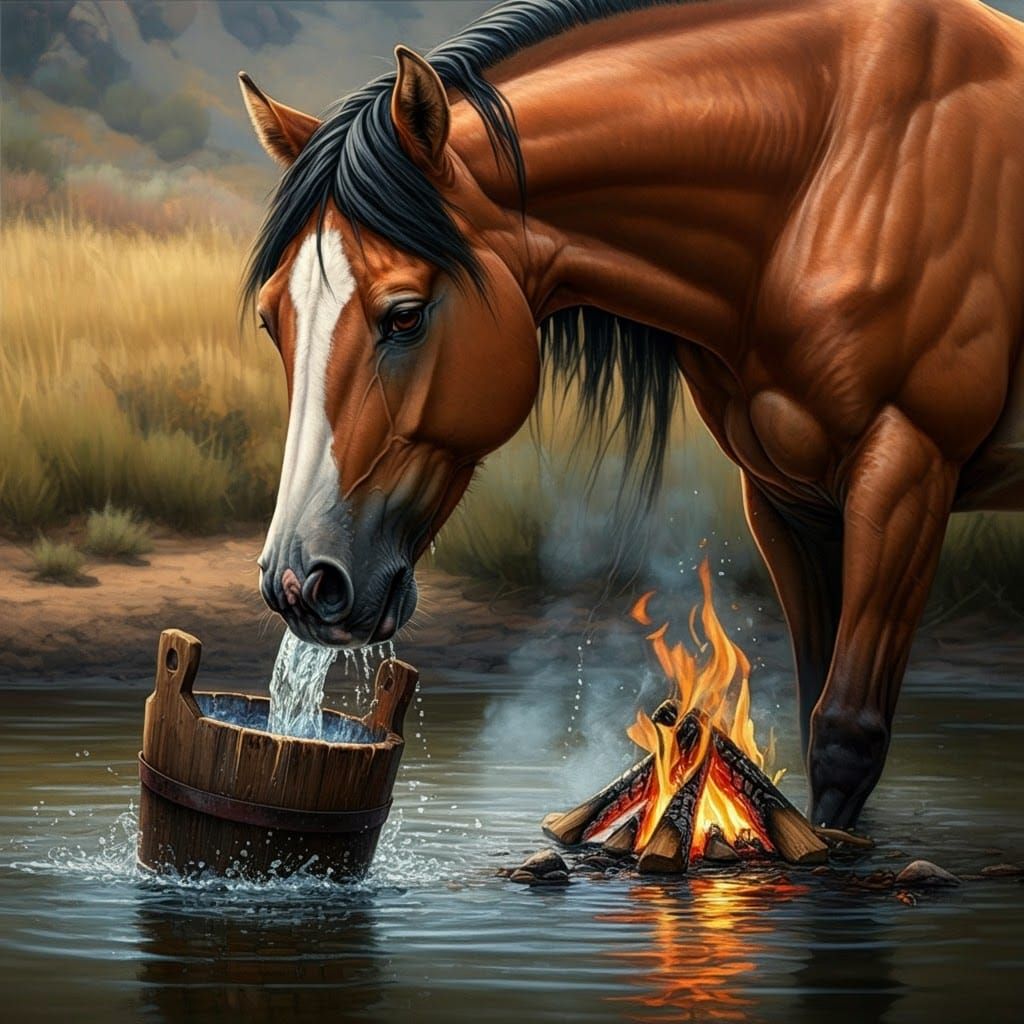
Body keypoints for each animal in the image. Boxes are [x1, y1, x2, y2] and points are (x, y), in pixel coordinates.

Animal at [239, 0, 1024, 829]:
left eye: (405, 315)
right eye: (271, 320)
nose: (300, 583)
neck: (836, 168)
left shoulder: (906, 474)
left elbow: (848, 733)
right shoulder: (790, 500)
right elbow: (818, 706)